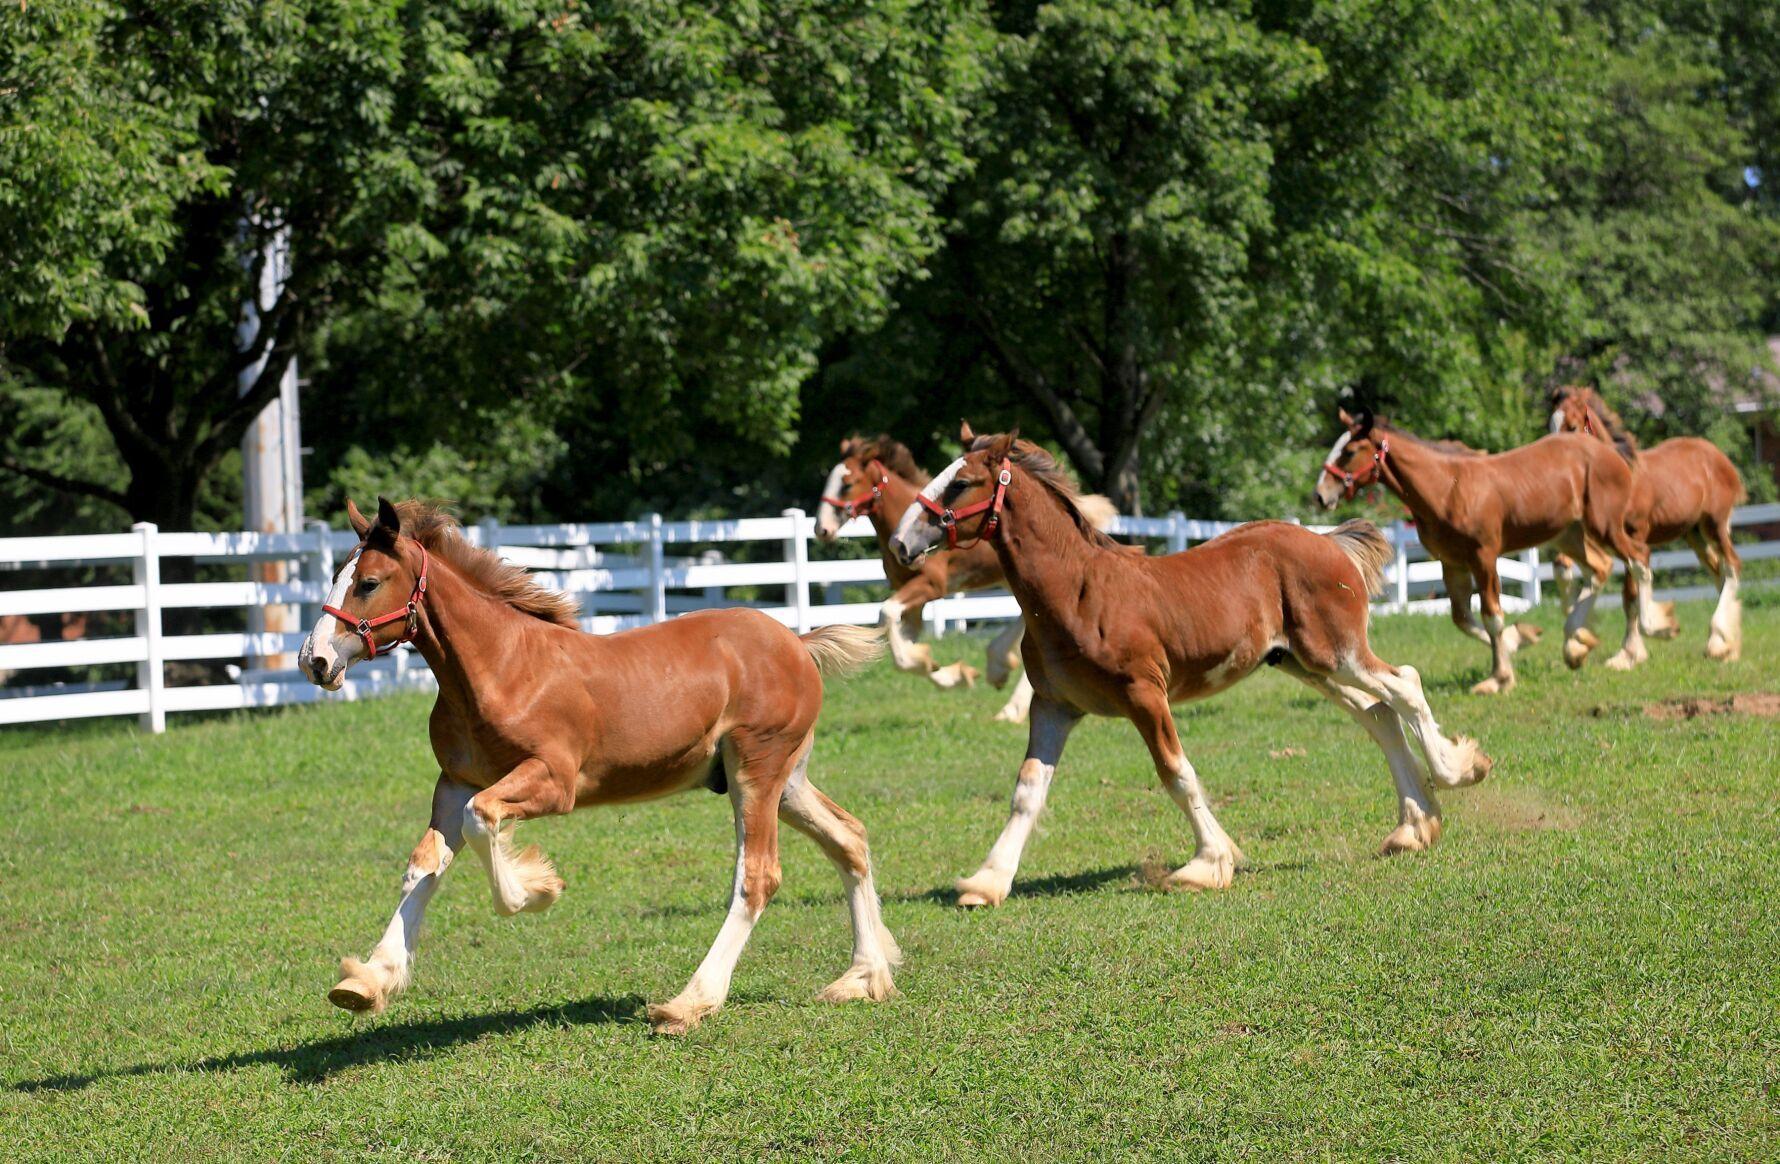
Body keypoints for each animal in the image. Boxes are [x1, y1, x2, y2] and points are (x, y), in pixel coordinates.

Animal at [300, 498, 904, 1032]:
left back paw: (688, 1004)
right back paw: (862, 978)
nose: (315, 660)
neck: (503, 668)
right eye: (335, 575)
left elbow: (482, 821)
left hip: (757, 769)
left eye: (368, 582)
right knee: (849, 838)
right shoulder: (454, 783)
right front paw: (367, 981)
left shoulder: (553, 781)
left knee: (757, 876)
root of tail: (798, 643)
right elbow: (424, 864)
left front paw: (537, 889)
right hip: (781, 780)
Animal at [818, 430, 1110, 719]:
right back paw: (1000, 666)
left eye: (847, 484)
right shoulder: (911, 595)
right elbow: (904, 644)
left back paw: (1010, 700)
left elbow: (886, 614)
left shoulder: (931, 585)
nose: (822, 529)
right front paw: (947, 671)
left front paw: (945, 669)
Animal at [886, 428, 1488, 911]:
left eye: (961, 483)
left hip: (1335, 653)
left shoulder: (1144, 695)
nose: (899, 543)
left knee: (1405, 684)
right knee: (1379, 714)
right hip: (1301, 663)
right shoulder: (1055, 705)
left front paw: (1208, 863)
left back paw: (1458, 773)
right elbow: (1028, 790)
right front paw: (987, 882)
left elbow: (1176, 774)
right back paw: (1413, 828)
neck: (1077, 591)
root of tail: (1328, 542)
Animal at [1310, 407, 1666, 694]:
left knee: (1638, 560)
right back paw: (1576, 645)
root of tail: (1605, 450)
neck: (1448, 489)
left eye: (1349, 451)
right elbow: (1463, 618)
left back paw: (1644, 636)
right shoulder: (1452, 563)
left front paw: (1499, 678)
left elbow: (1492, 615)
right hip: (1569, 535)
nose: (1320, 496)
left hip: (1606, 526)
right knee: (1600, 569)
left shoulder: (1484, 557)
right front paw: (1517, 641)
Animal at [1552, 388, 1744, 662]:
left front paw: (1629, 652)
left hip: (1714, 525)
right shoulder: (1596, 535)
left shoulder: (1635, 535)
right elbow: (1564, 566)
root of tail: (1720, 458)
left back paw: (1719, 642)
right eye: (1550, 424)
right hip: (1694, 534)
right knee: (1719, 573)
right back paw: (1726, 645)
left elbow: (1630, 594)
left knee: (1732, 566)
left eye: (1572, 426)